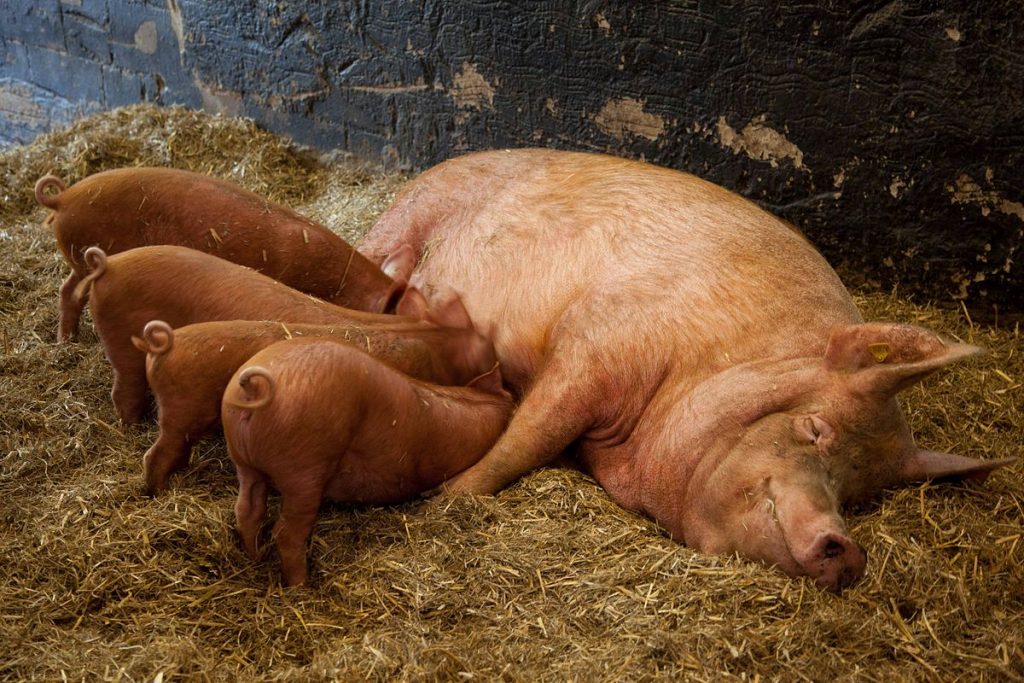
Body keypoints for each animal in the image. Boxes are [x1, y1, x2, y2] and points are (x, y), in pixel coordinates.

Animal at [34, 167, 413, 341]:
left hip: (80, 259)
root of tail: (62, 198)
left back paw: (68, 339)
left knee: (68, 291)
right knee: (74, 292)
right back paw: (68, 339)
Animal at [73, 244, 492, 426]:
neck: (430, 338)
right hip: (120, 341)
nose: (501, 377)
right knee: (124, 389)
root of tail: (108, 266)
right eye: (483, 354)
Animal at [132, 312, 502, 495]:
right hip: (182, 408)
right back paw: (158, 491)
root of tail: (165, 344)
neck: (437, 350)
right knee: (157, 453)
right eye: (485, 351)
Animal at [222, 338, 513, 586]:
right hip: (304, 467)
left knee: (247, 510)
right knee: (285, 532)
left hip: (244, 460)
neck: (489, 405)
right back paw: (301, 586)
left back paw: (257, 558)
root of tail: (255, 387)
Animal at [360, 148, 1016, 592]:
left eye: (859, 495)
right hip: (412, 213)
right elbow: (526, 439)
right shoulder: (596, 342)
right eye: (814, 430)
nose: (850, 552)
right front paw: (446, 501)